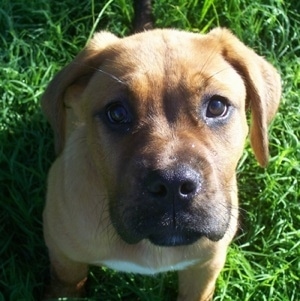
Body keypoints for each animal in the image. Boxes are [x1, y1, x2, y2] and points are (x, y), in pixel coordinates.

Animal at [42, 27, 282, 298]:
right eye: (117, 113)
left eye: (217, 106)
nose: (173, 184)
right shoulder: (62, 251)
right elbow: (67, 281)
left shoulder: (205, 267)